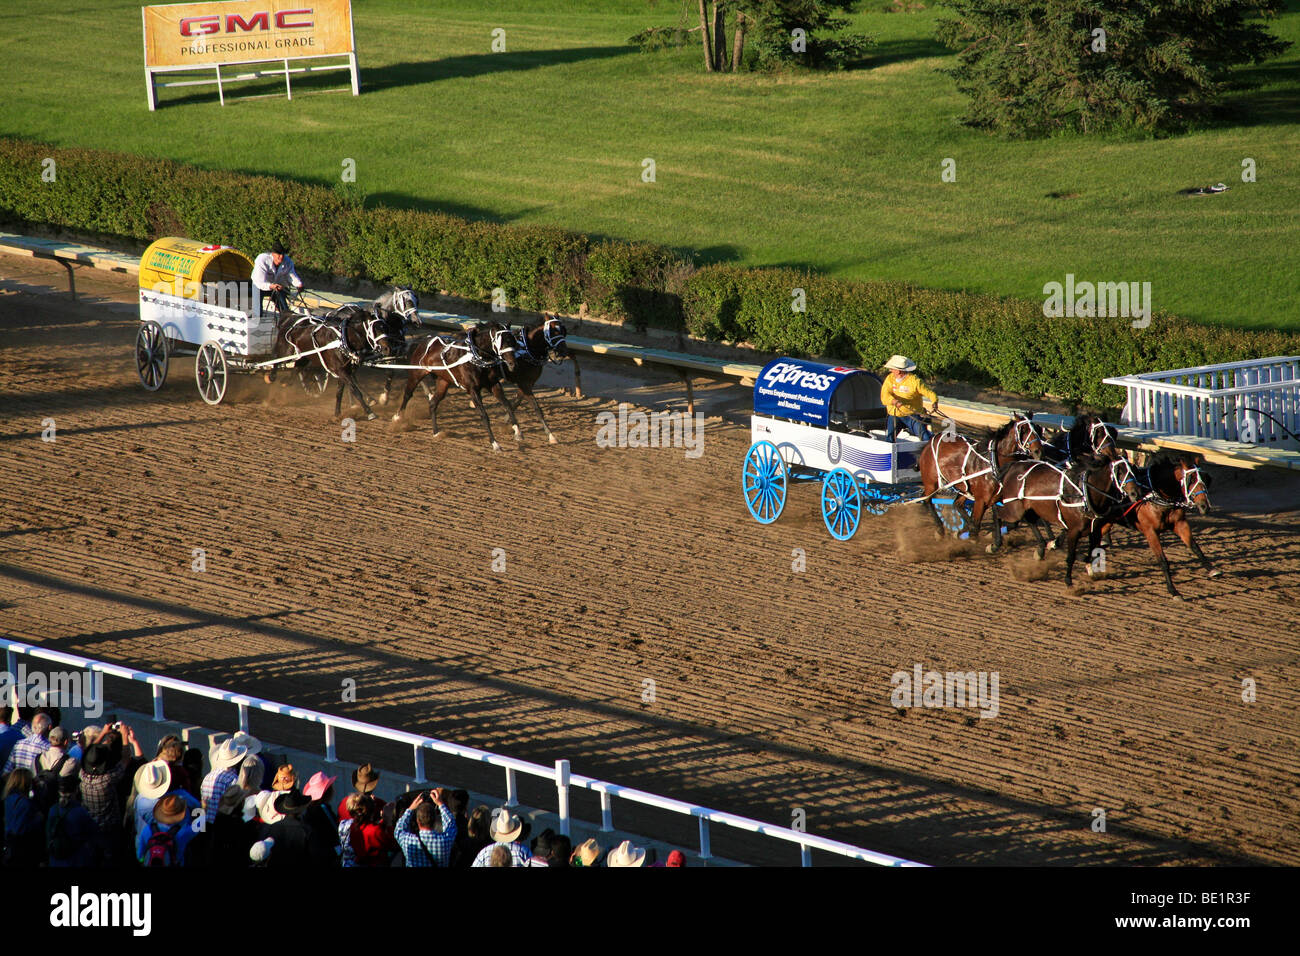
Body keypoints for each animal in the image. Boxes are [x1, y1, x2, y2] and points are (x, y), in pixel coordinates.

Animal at [925, 413, 1045, 554]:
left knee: (957, 504)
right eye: (1024, 429)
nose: (1038, 451)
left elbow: (1014, 519)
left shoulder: (999, 498)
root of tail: (935, 437)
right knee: (927, 500)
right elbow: (979, 522)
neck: (995, 463)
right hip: (931, 483)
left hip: (964, 488)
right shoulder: (982, 500)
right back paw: (940, 530)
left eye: (1037, 428)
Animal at [993, 455, 1138, 590]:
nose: (1135, 493)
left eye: (1133, 470)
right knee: (998, 512)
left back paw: (1041, 548)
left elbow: (1090, 554)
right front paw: (1068, 581)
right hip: (1013, 508)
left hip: (1029, 508)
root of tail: (1014, 465)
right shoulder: (1074, 531)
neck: (1084, 495)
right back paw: (995, 544)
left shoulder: (1095, 530)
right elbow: (1071, 556)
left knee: (1029, 521)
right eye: (1120, 471)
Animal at [1086, 450, 1216, 598]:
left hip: (1107, 522)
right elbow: (1163, 561)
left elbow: (1195, 547)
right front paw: (1173, 591)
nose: (1204, 506)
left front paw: (1212, 569)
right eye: (1192, 479)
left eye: (1206, 479)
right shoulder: (1150, 532)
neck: (1156, 495)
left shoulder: (1180, 523)